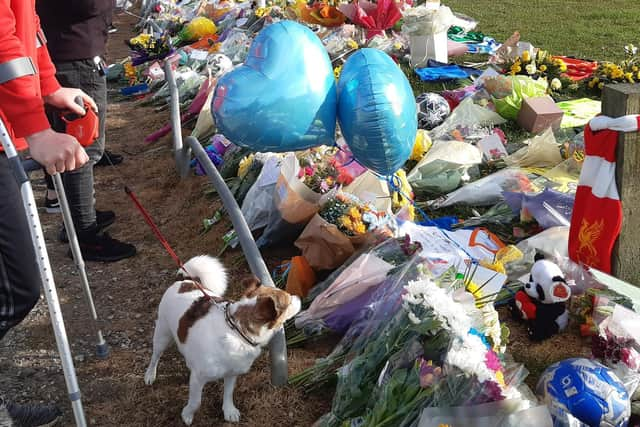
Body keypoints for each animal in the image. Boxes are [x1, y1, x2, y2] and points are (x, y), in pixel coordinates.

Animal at [145, 256, 300, 426]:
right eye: (289, 301)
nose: (299, 297)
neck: (236, 331)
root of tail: (184, 280)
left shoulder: (232, 372)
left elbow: (229, 393)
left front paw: (229, 410)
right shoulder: (199, 378)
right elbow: (196, 402)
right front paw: (187, 414)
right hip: (162, 334)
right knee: (155, 356)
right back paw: (150, 374)